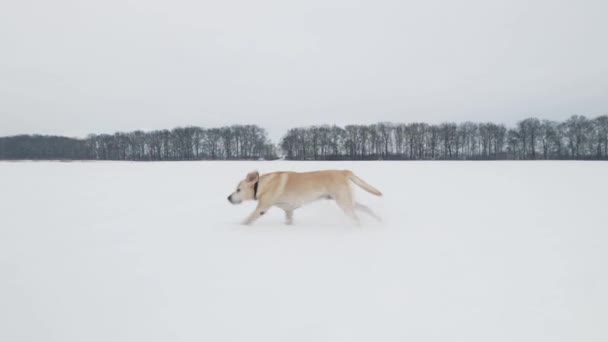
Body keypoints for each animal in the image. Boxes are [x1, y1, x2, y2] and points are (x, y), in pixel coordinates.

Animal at [226, 170, 382, 224]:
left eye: (238, 190)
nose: (228, 198)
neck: (261, 185)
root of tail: (344, 171)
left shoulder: (261, 209)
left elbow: (247, 220)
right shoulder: (288, 210)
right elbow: (288, 221)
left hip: (344, 203)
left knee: (356, 218)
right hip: (348, 201)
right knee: (366, 209)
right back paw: (380, 221)